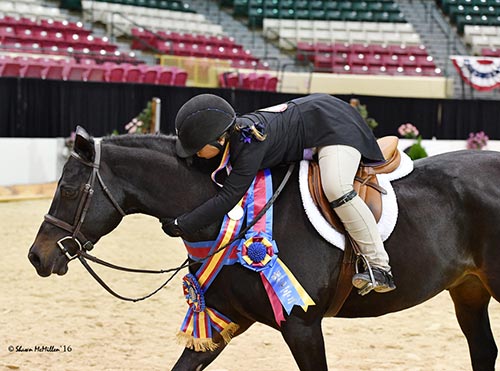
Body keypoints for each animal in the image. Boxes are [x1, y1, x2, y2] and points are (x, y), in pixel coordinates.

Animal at [28, 129, 500, 371]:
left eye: (68, 190)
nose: (37, 256)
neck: (232, 215)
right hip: (468, 291)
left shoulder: (302, 325)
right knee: (483, 351)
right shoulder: (224, 319)